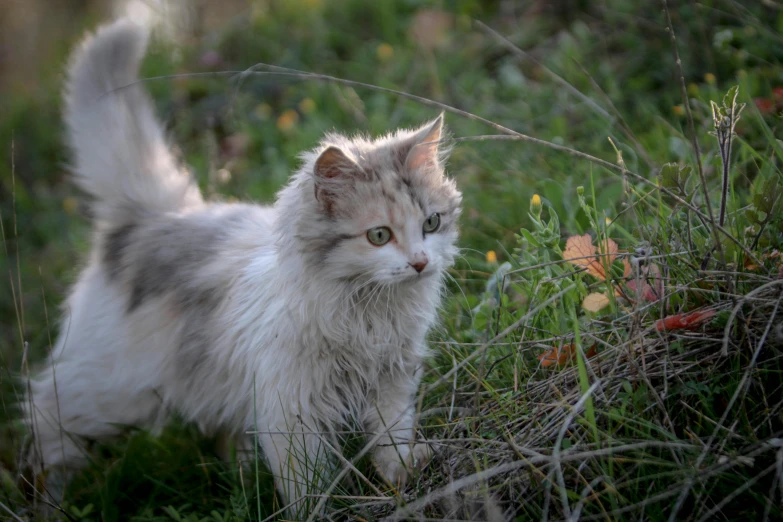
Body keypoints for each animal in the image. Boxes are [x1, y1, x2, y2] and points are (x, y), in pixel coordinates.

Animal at [24, 17, 462, 512]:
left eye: (431, 223)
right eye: (380, 236)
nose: (420, 262)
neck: (367, 313)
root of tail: (152, 216)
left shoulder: (392, 378)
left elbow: (392, 433)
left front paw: (401, 475)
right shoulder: (289, 408)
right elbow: (305, 482)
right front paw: (319, 512)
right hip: (111, 392)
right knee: (45, 418)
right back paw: (47, 504)